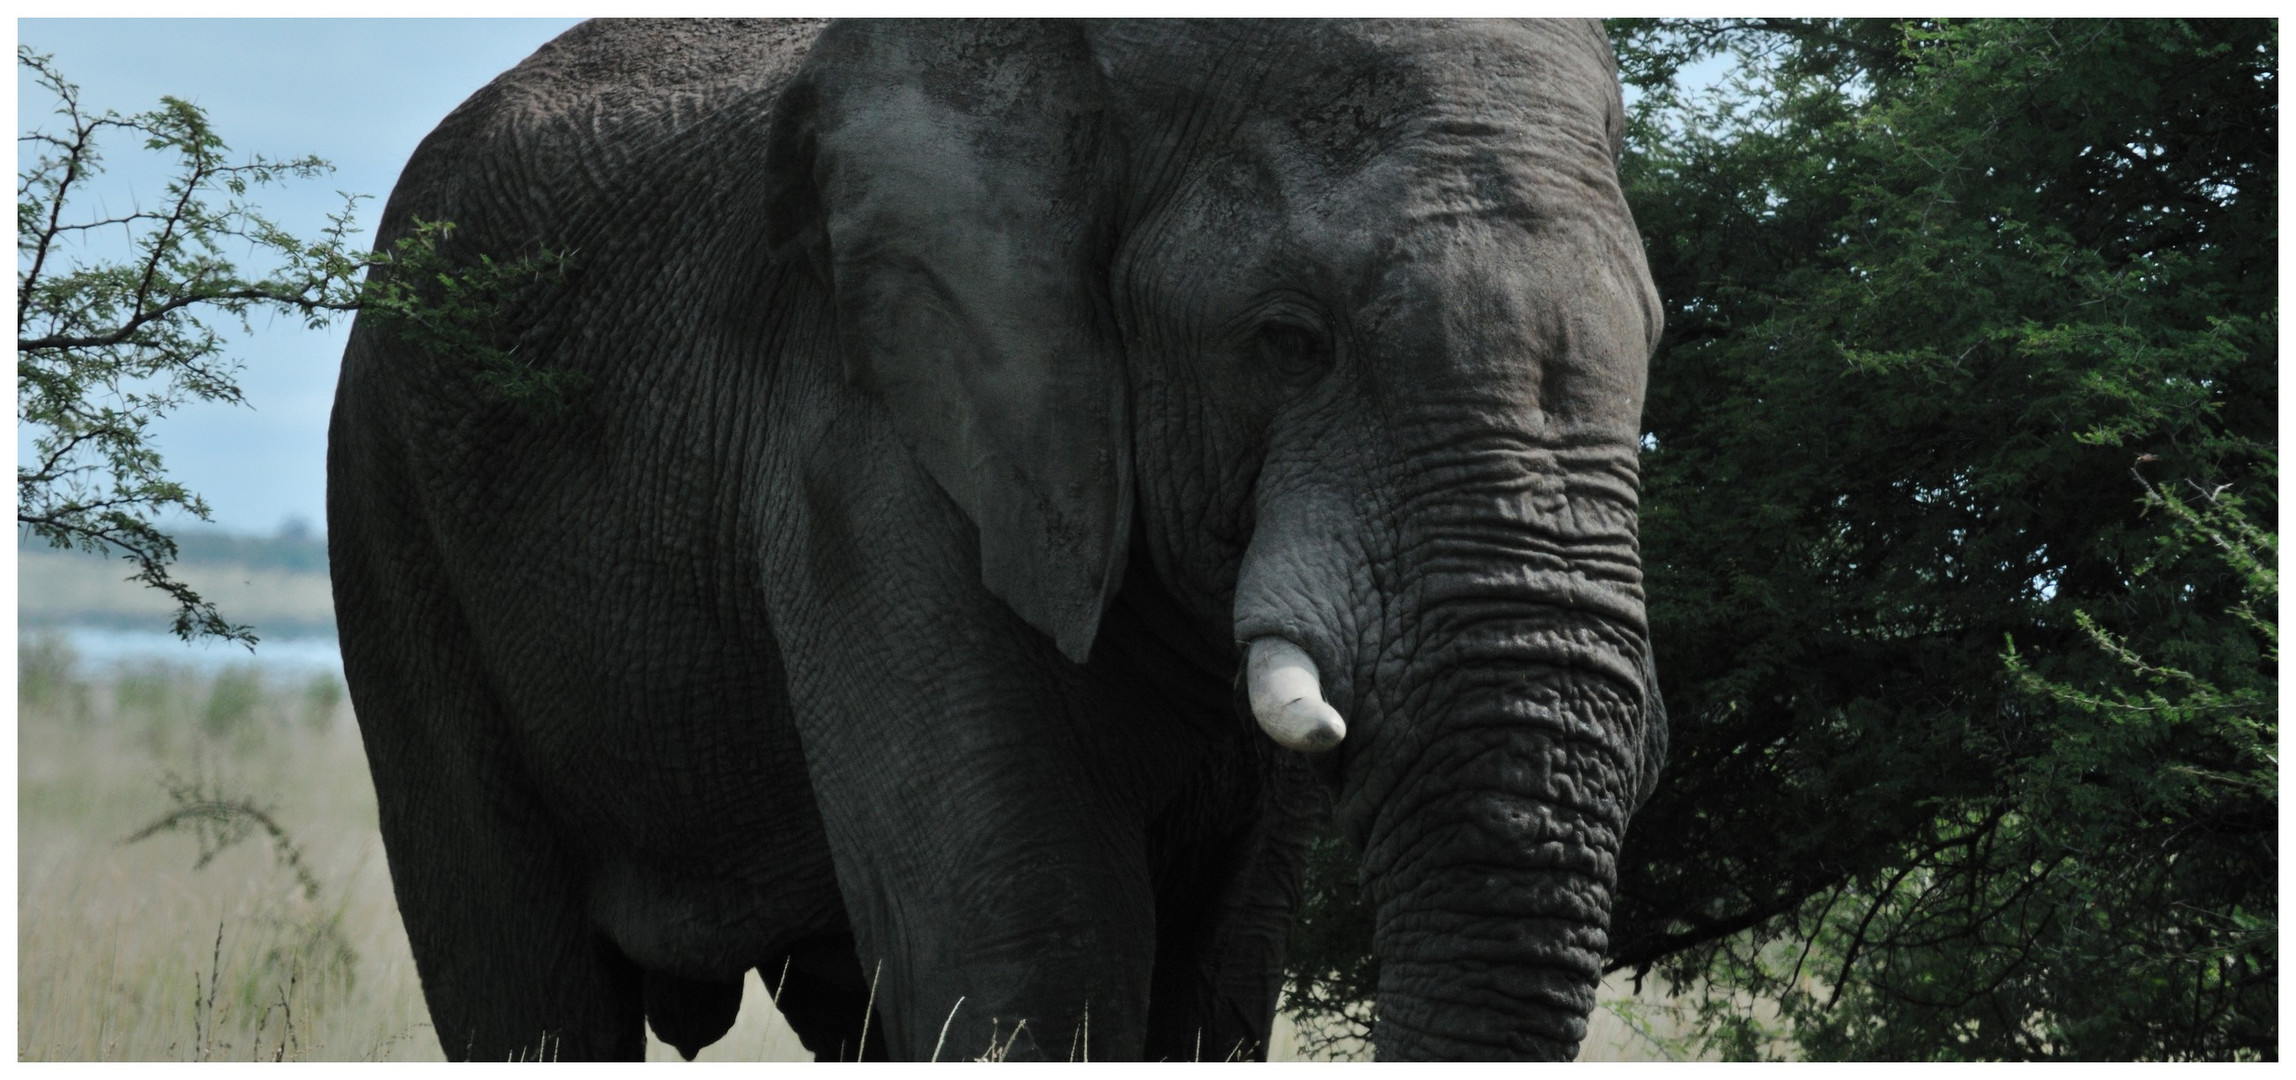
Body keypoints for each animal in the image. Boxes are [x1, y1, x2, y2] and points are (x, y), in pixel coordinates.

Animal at [328, 16, 1671, 1061]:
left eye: (1654, 338)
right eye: (1289, 341)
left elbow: (1219, 966)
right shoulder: (869, 448)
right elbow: (1032, 941)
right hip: (388, 497)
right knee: (521, 978)